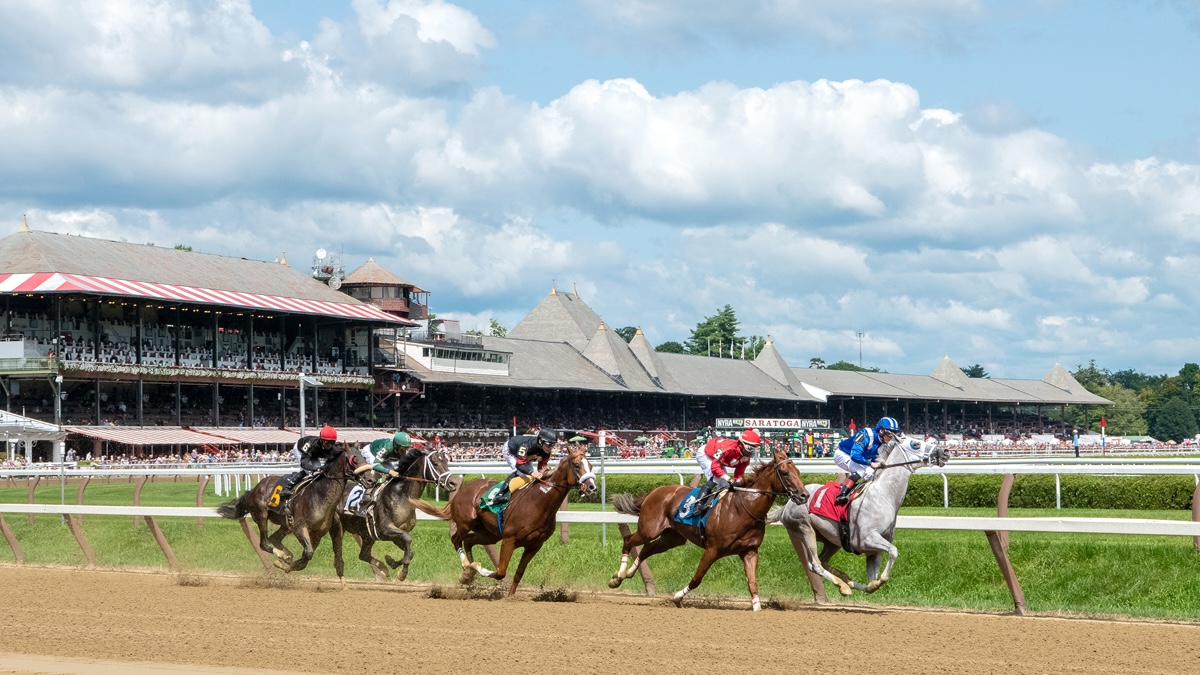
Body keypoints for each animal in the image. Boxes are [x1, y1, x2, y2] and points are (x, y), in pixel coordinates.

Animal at [217, 444, 355, 581]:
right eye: (353, 460)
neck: (320, 494)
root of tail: (253, 490)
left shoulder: (320, 531)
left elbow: (309, 555)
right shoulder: (301, 528)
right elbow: (307, 553)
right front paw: (285, 563)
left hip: (285, 524)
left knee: (274, 538)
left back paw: (286, 556)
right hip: (261, 515)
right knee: (264, 543)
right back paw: (282, 555)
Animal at [345, 446, 465, 578]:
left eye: (446, 461)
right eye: (435, 463)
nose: (453, 483)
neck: (401, 495)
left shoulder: (398, 533)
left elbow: (410, 552)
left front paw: (391, 562)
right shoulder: (384, 530)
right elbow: (408, 540)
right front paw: (402, 573)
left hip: (366, 535)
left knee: (363, 555)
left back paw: (382, 569)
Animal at [415, 446, 597, 593]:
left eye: (591, 465)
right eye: (577, 465)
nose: (592, 487)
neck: (539, 501)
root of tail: (462, 489)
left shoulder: (535, 545)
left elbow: (518, 573)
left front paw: (510, 597)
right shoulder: (509, 539)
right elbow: (500, 572)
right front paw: (477, 568)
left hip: (490, 534)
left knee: (468, 541)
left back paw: (468, 572)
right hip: (466, 523)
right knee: (456, 540)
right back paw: (467, 570)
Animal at [609, 446, 806, 610]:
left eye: (798, 471)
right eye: (785, 473)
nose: (804, 495)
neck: (743, 508)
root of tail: (655, 491)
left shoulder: (750, 551)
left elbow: (752, 582)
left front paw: (757, 608)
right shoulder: (712, 549)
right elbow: (697, 578)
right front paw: (677, 597)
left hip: (673, 538)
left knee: (647, 549)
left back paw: (626, 575)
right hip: (649, 529)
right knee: (629, 541)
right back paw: (618, 576)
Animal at [772, 429, 950, 593]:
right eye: (916, 444)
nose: (945, 452)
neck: (883, 495)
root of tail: (787, 505)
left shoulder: (873, 552)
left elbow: (871, 584)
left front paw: (866, 584)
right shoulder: (866, 539)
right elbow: (893, 552)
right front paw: (878, 581)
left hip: (831, 540)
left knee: (822, 560)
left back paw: (845, 582)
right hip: (805, 528)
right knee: (814, 564)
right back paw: (842, 585)